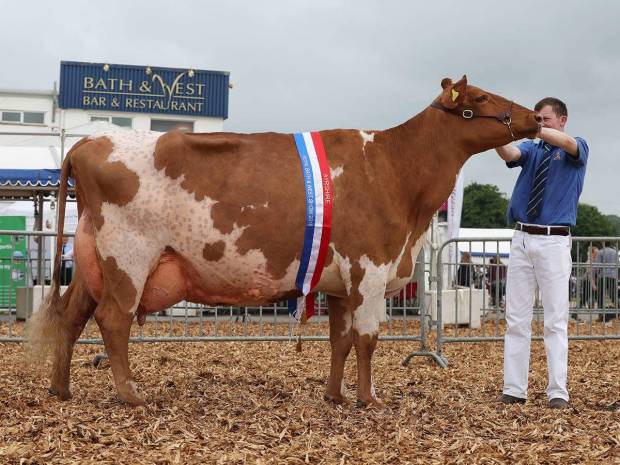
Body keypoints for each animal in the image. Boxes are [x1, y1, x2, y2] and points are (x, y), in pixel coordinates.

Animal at [26, 76, 540, 406]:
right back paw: (132, 395)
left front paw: (335, 395)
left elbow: (340, 340)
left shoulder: (340, 280)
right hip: (129, 257)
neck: (395, 170)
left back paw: (60, 389)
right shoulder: (370, 269)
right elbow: (368, 338)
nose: (535, 116)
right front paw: (370, 399)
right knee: (113, 321)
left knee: (71, 316)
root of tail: (89, 141)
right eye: (480, 97)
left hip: (92, 260)